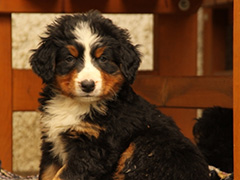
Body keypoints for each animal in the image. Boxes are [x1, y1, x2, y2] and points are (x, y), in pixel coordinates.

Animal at [30, 11, 210, 180]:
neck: (77, 105)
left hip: (146, 146)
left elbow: (63, 175)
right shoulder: (51, 143)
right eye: (69, 58)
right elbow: (48, 173)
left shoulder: (94, 148)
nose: (88, 85)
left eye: (103, 58)